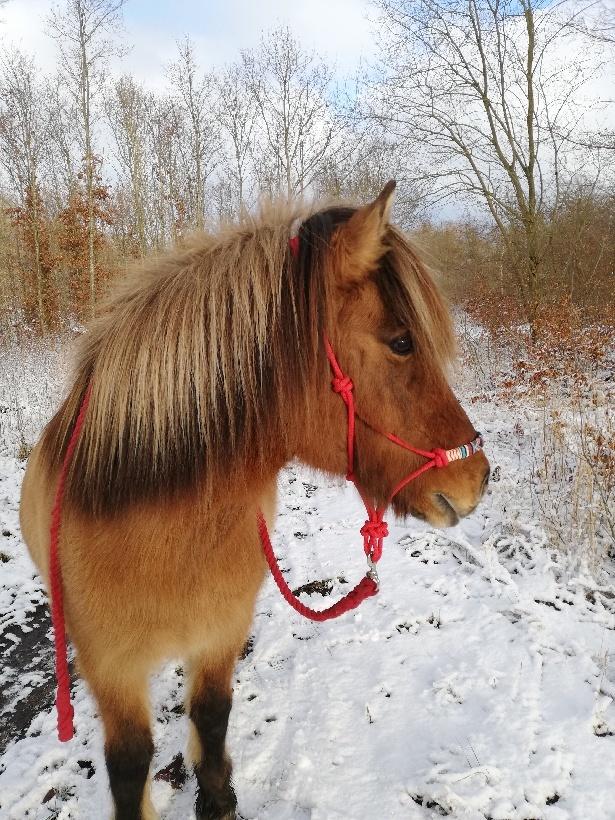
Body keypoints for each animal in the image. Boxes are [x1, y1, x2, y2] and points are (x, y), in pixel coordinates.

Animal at [18, 183, 490, 816]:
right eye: (401, 341)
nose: (478, 478)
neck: (161, 538)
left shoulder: (221, 632)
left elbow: (211, 715)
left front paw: (217, 797)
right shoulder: (113, 670)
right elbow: (129, 764)